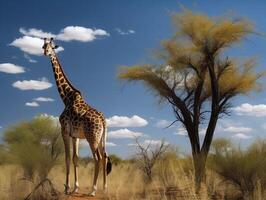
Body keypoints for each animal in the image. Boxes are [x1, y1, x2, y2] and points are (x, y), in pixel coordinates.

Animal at [41, 38, 112, 197]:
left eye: (51, 47)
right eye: (43, 46)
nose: (45, 53)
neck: (66, 98)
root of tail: (103, 121)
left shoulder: (64, 131)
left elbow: (67, 158)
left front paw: (67, 188)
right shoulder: (75, 136)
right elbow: (75, 158)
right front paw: (75, 187)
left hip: (92, 137)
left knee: (97, 158)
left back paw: (93, 190)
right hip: (101, 138)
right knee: (105, 156)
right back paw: (104, 188)